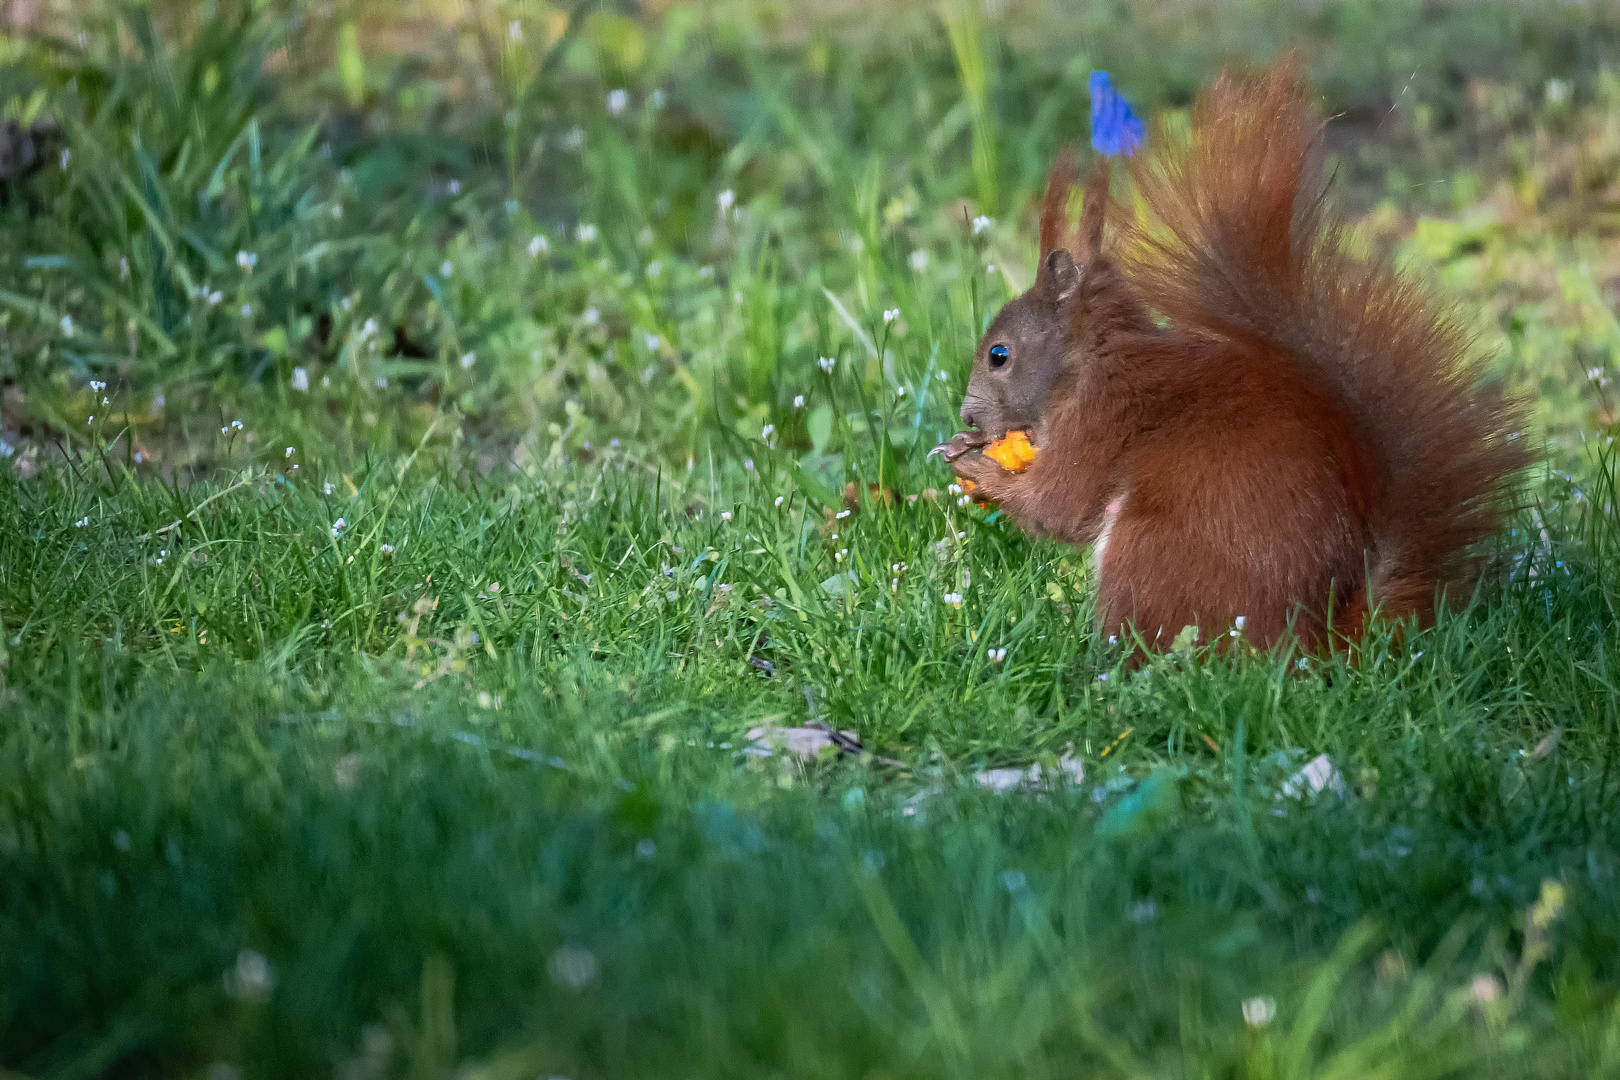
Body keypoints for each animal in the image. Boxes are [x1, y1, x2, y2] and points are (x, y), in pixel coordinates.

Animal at [939, 57, 1529, 650]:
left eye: (998, 355)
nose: (968, 415)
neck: (1090, 361)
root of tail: (1313, 642)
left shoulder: (1099, 420)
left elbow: (1055, 508)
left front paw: (973, 464)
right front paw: (971, 446)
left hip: (1151, 553)